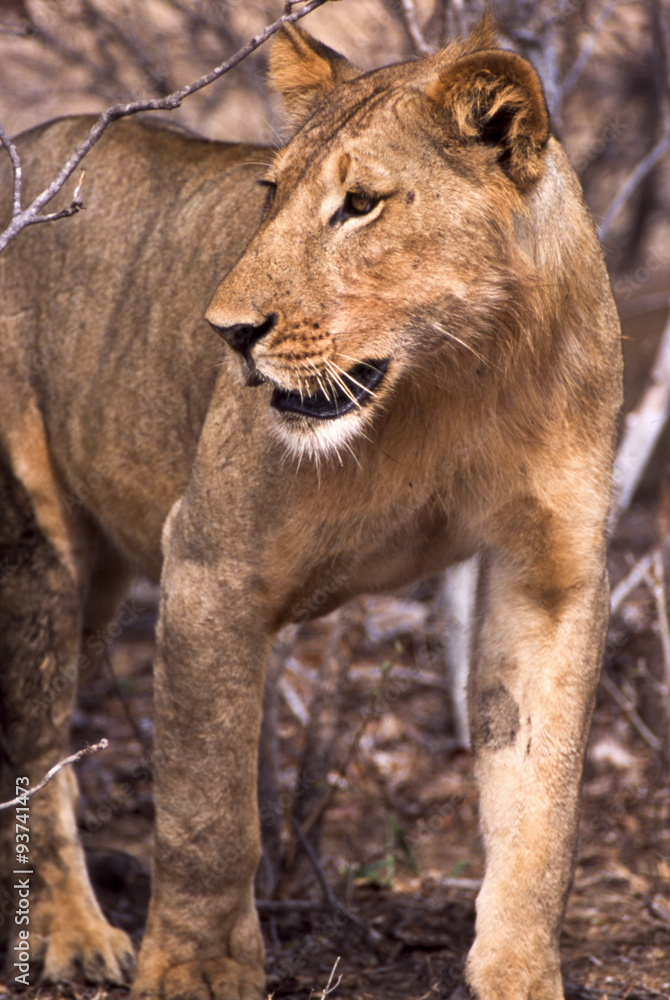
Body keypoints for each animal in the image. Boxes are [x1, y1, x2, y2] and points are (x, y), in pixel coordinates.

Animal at [0, 15, 622, 1000]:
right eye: (270, 193)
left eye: (360, 204)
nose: (227, 333)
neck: (458, 378)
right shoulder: (210, 563)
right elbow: (208, 813)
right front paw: (193, 971)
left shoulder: (550, 573)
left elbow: (543, 805)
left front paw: (520, 975)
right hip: (37, 545)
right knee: (35, 740)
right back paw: (72, 932)